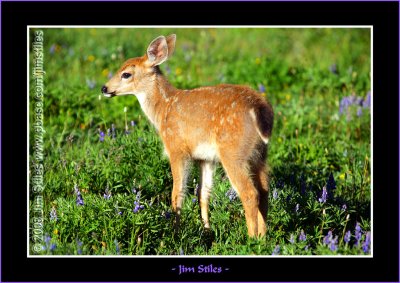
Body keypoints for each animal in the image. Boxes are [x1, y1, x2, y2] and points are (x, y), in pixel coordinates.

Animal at [101, 34, 274, 239]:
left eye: (126, 74)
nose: (104, 88)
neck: (163, 109)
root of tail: (259, 107)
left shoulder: (176, 148)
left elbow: (178, 193)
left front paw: (176, 232)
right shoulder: (205, 158)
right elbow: (203, 193)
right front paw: (206, 230)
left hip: (233, 153)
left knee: (249, 193)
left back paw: (251, 238)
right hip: (259, 153)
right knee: (264, 190)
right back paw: (263, 237)